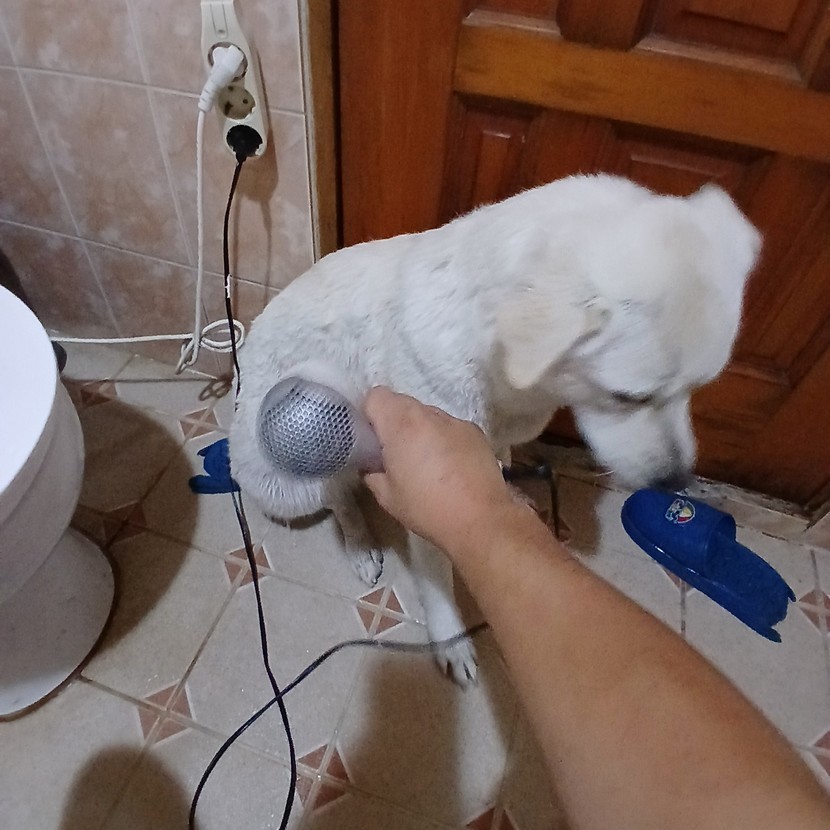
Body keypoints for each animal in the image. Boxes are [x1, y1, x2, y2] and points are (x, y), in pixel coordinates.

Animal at [230, 174, 761, 685]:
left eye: (700, 386)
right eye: (628, 396)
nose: (676, 484)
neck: (507, 377)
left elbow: (498, 468)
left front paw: (511, 496)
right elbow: (438, 578)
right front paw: (452, 641)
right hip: (294, 472)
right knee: (337, 497)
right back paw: (360, 544)